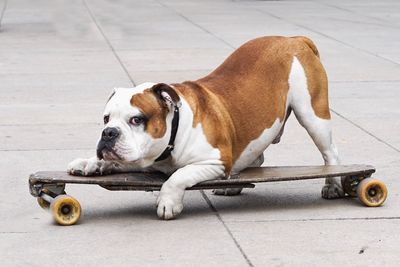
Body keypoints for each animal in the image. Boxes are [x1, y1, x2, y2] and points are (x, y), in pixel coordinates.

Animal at [68, 36, 344, 220]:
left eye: (137, 119)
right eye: (106, 119)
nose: (109, 133)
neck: (174, 132)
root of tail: (293, 39)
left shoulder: (214, 161)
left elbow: (178, 176)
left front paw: (168, 201)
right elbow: (112, 161)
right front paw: (89, 163)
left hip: (312, 114)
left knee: (330, 154)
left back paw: (332, 186)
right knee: (255, 156)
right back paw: (231, 185)